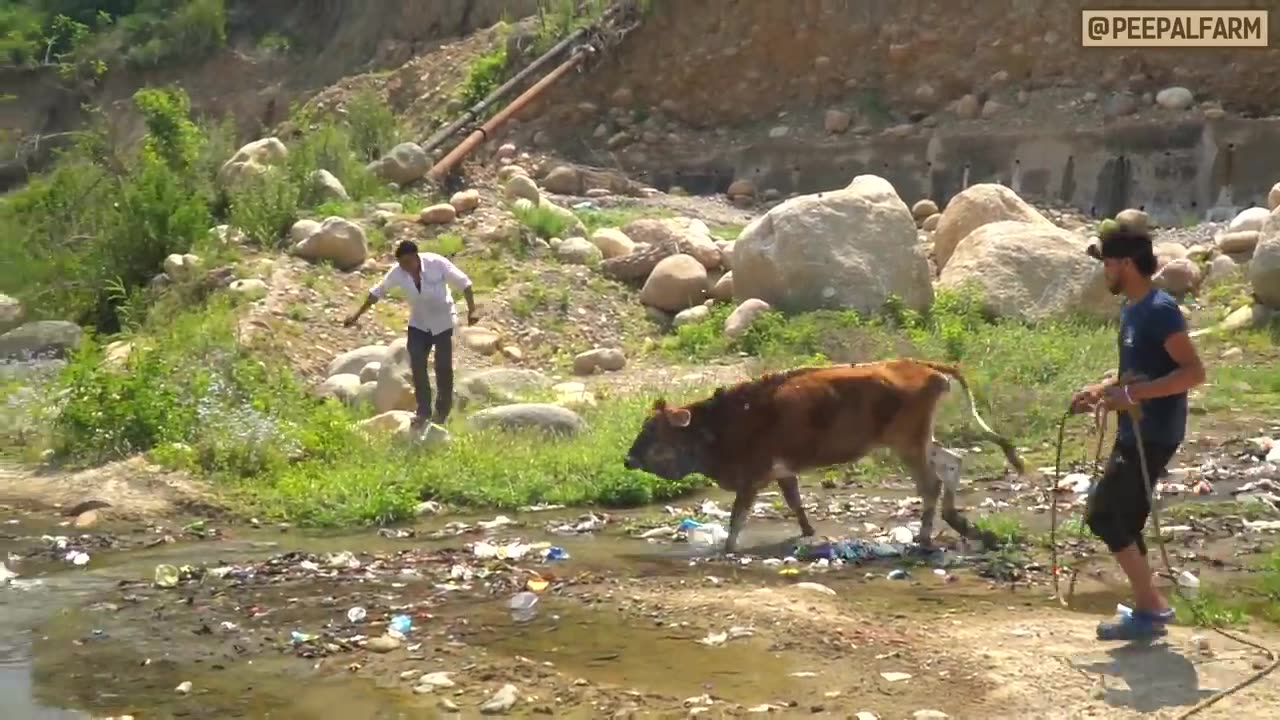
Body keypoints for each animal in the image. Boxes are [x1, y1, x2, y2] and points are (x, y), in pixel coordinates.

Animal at [624, 356, 1024, 550]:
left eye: (651, 429)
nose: (627, 459)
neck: (723, 422)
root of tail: (921, 364)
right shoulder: (782, 471)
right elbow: (795, 502)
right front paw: (807, 532)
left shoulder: (752, 475)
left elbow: (737, 518)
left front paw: (726, 549)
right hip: (919, 441)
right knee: (952, 462)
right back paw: (957, 521)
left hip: (909, 444)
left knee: (931, 485)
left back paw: (925, 537)